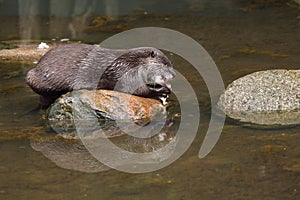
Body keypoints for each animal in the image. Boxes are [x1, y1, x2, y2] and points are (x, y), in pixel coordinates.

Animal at [26, 43, 176, 107]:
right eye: (166, 64)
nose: (174, 74)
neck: (130, 62)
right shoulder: (124, 72)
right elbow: (137, 90)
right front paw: (161, 91)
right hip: (35, 78)